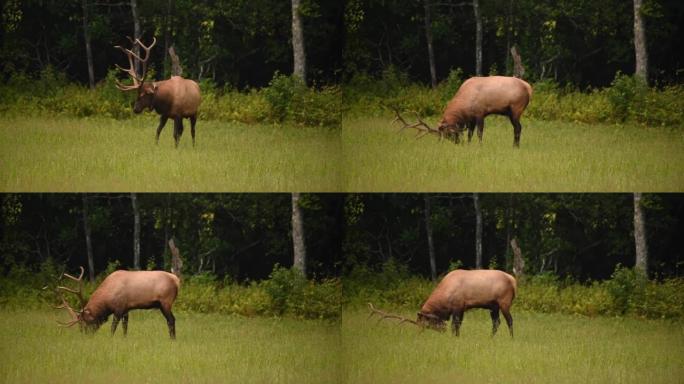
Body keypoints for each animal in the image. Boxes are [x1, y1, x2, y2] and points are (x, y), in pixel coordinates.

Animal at [372, 268, 516, 338]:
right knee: (496, 322)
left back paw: (511, 338)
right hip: (493, 306)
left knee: (509, 320)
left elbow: (454, 325)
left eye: (426, 325)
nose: (442, 330)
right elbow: (458, 325)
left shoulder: (458, 307)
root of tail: (513, 280)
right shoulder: (461, 308)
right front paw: (457, 337)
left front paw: (453, 337)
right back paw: (490, 338)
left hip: (504, 302)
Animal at [396, 76, 536, 147]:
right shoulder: (471, 118)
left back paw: (515, 146)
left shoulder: (480, 113)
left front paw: (480, 146)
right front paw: (468, 145)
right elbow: (470, 133)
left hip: (516, 109)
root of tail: (529, 88)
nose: (458, 143)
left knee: (518, 127)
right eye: (442, 135)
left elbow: (479, 133)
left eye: (449, 134)